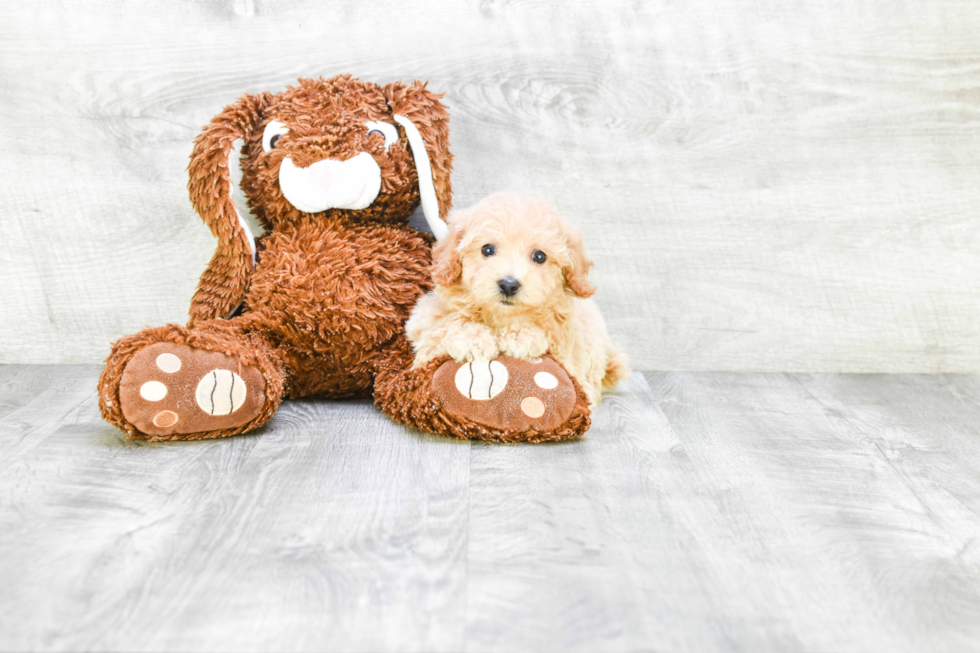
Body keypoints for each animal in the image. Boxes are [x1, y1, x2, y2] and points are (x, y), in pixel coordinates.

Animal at [406, 190, 628, 402]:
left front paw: (520, 336)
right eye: (488, 249)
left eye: (539, 256)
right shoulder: (423, 320)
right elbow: (443, 325)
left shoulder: (569, 351)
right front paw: (472, 338)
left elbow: (549, 337)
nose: (508, 285)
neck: (500, 317)